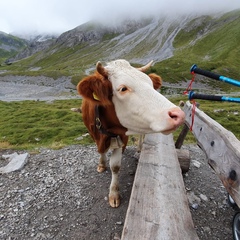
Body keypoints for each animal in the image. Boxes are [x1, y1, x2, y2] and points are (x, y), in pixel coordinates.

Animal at [77, 59, 186, 207]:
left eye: (151, 84)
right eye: (123, 88)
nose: (178, 115)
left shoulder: (121, 137)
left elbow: (115, 166)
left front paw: (114, 194)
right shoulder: (94, 133)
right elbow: (101, 152)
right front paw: (101, 164)